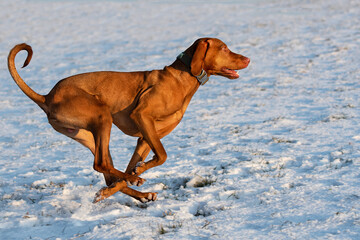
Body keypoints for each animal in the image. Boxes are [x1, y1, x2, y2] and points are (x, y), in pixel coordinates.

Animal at [8, 37, 250, 202]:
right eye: (224, 48)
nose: (248, 58)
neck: (182, 78)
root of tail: (47, 96)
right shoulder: (142, 116)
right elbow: (162, 156)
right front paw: (135, 175)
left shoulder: (145, 138)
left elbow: (137, 166)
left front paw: (120, 183)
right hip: (102, 115)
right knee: (100, 163)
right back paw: (136, 184)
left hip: (90, 135)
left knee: (106, 170)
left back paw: (139, 193)